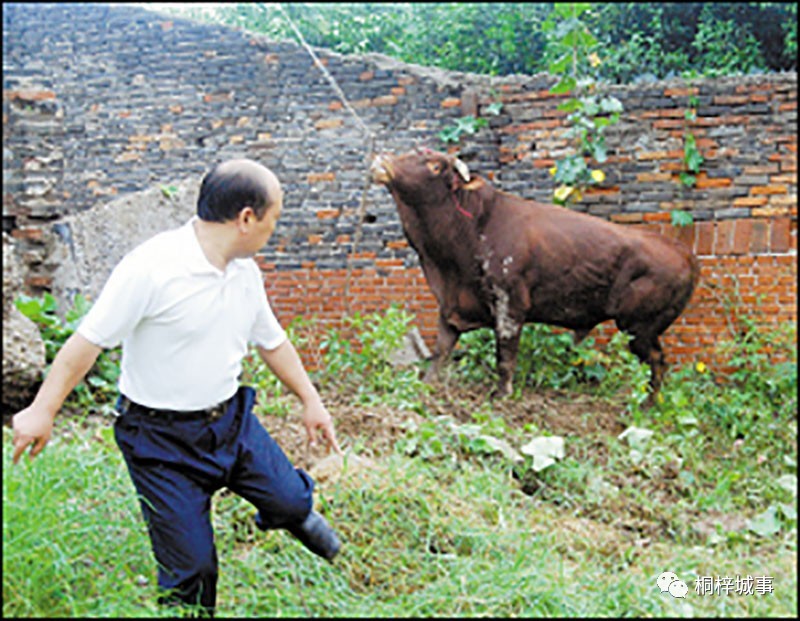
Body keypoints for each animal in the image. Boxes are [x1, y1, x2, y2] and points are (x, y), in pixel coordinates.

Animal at [372, 148, 696, 400]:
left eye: (435, 165)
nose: (381, 160)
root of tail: (684, 251)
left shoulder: (509, 303)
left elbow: (505, 356)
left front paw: (502, 394)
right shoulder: (451, 306)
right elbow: (440, 351)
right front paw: (427, 385)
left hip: (639, 326)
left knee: (657, 362)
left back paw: (647, 406)